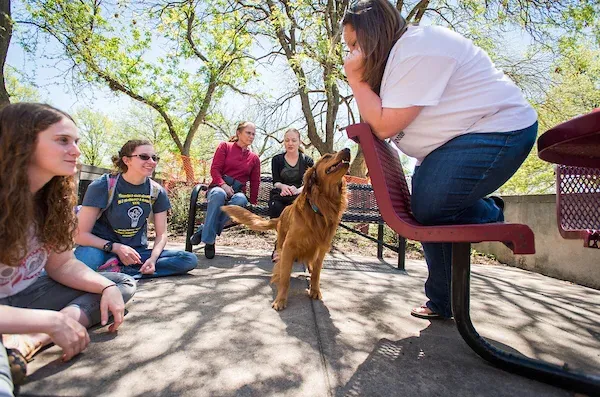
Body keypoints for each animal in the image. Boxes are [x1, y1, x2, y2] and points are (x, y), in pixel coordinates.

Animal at [221, 148, 352, 310]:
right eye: (327, 156)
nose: (348, 149)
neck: (321, 207)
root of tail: (281, 215)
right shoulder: (289, 247)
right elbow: (285, 278)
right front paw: (280, 300)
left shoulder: (321, 248)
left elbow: (316, 274)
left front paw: (315, 290)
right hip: (282, 242)